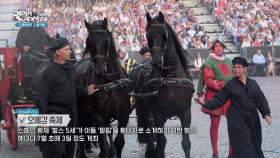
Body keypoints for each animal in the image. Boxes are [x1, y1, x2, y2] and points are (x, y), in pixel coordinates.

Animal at [74, 18, 132, 158]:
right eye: (89, 41)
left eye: (106, 41)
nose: (100, 70)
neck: (109, 82)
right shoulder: (99, 116)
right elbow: (103, 143)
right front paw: (105, 151)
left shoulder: (123, 115)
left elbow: (119, 142)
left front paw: (114, 150)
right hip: (80, 109)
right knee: (80, 128)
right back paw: (81, 152)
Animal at [138, 12, 195, 158]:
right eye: (148, 36)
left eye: (164, 35)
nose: (156, 61)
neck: (169, 77)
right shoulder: (158, 114)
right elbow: (162, 142)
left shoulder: (185, 113)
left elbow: (186, 143)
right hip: (147, 112)